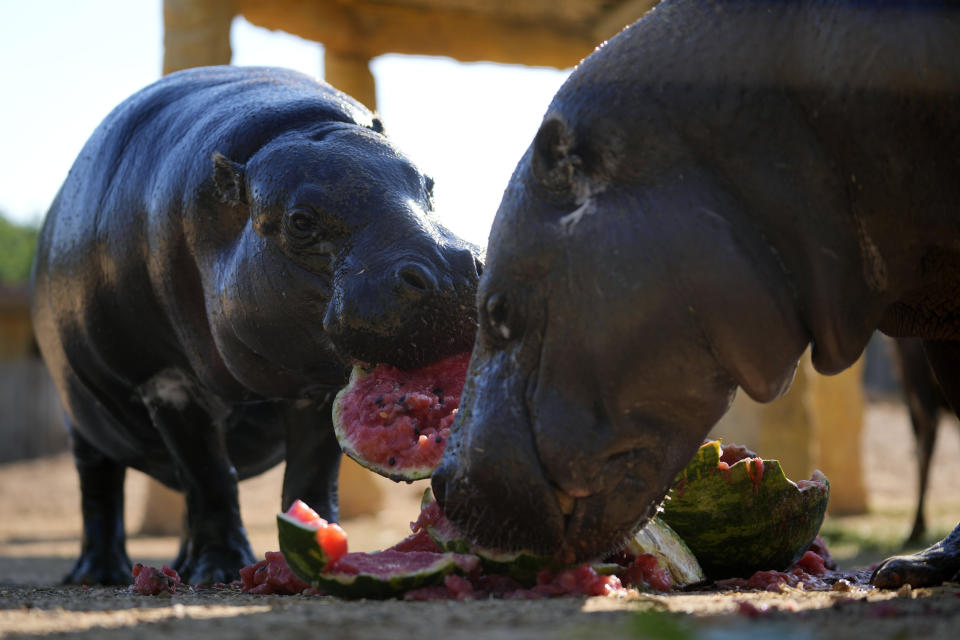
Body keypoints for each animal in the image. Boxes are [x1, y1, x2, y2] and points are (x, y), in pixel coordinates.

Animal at [31, 66, 484, 584]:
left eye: (429, 185)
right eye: (300, 221)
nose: (450, 270)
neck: (293, 127)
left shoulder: (318, 382)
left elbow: (308, 474)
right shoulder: (167, 380)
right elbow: (210, 476)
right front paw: (223, 569)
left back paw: (182, 567)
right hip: (81, 418)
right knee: (101, 488)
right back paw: (101, 573)